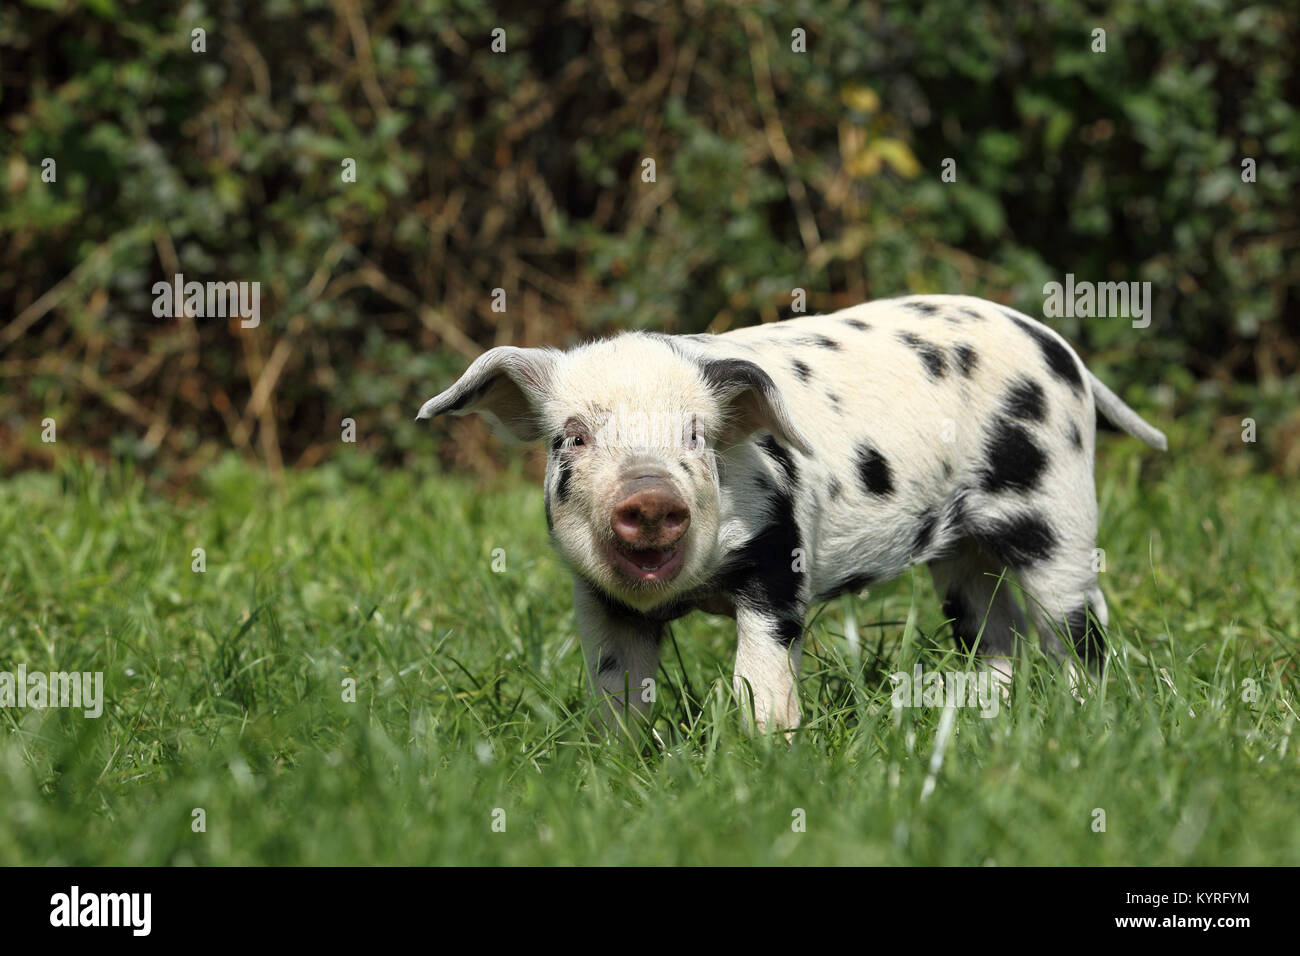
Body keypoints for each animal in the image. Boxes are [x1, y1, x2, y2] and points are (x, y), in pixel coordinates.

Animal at [417, 295, 1167, 732]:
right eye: (572, 436)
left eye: (697, 434)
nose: (651, 494)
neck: (695, 589)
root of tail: (1058, 348)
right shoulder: (598, 597)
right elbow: (615, 688)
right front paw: (617, 763)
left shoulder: (780, 563)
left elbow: (760, 675)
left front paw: (765, 752)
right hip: (961, 553)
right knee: (996, 632)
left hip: (1059, 510)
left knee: (1078, 629)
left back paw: (1084, 720)